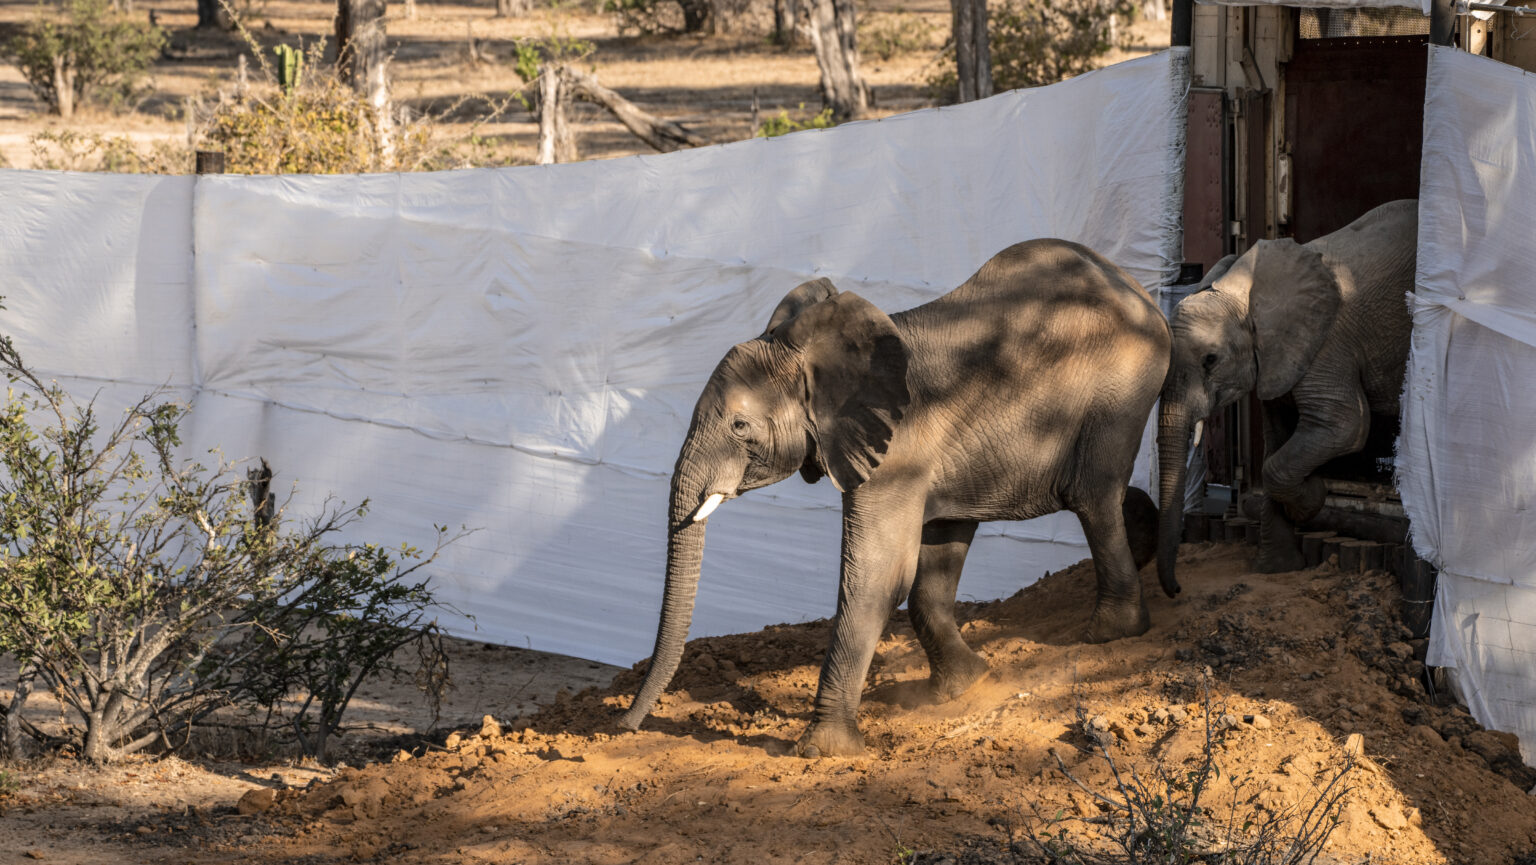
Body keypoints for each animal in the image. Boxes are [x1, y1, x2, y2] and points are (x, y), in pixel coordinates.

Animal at [620, 238, 1171, 758]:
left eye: (739, 426)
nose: (623, 726)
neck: (819, 358)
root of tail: (1135, 288)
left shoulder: (896, 449)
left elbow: (879, 575)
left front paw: (823, 752)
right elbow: (933, 561)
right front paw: (964, 687)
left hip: (1121, 385)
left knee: (1091, 496)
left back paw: (1110, 632)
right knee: (1096, 491)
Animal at [1155, 199, 1418, 593]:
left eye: (1211, 360)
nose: (1176, 589)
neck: (1244, 292)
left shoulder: (1327, 345)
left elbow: (1344, 425)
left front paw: (1313, 498)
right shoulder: (1277, 358)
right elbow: (1276, 440)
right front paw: (1276, 569)